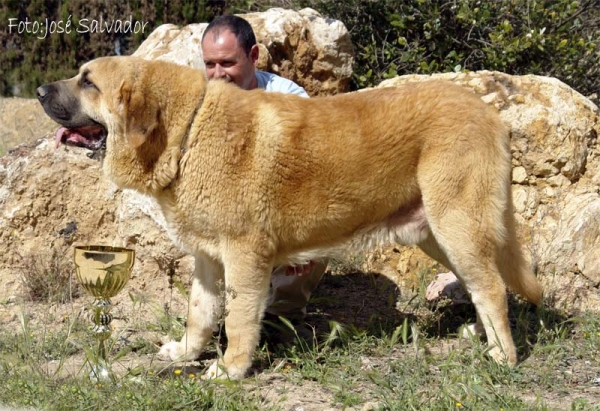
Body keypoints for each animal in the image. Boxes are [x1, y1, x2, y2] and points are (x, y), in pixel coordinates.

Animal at [38, 55, 544, 380]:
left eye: (88, 82)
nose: (41, 90)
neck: (186, 132)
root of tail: (492, 115)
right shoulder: (207, 258)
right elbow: (200, 313)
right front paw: (186, 352)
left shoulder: (244, 256)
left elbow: (239, 317)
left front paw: (230, 369)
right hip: (439, 235)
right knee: (481, 284)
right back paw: (479, 337)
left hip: (457, 224)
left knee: (491, 288)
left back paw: (502, 357)